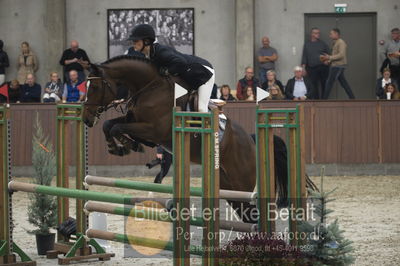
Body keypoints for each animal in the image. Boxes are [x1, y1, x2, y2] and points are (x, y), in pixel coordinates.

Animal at [83, 55, 290, 221]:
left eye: (94, 87)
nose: (86, 119)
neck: (150, 88)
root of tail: (252, 141)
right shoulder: (137, 124)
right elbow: (108, 125)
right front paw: (118, 147)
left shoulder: (153, 130)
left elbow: (116, 127)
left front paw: (127, 146)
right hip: (230, 189)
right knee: (248, 216)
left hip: (242, 184)